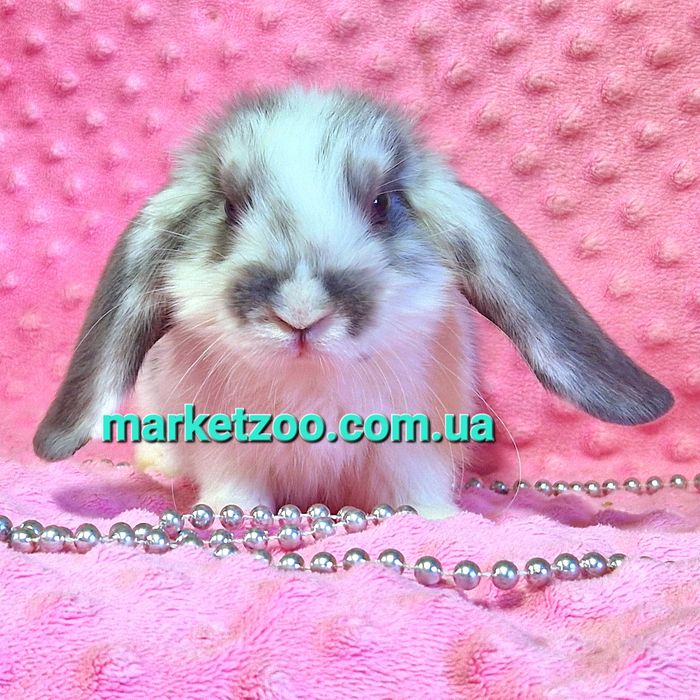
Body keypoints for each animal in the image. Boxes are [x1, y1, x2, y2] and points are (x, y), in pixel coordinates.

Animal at [33, 85, 674, 518]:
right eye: (229, 207)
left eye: (382, 203)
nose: (300, 314)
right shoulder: (230, 454)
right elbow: (236, 490)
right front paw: (222, 516)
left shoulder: (415, 447)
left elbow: (416, 488)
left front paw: (437, 521)